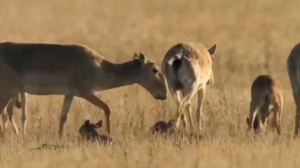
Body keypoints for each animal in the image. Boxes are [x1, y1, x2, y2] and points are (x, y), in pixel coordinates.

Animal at [0, 42, 168, 138]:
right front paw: (109, 133)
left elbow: (63, 116)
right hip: (7, 92)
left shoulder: (70, 94)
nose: (164, 94)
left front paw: (59, 138)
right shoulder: (86, 93)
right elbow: (107, 108)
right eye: (155, 69)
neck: (101, 67)